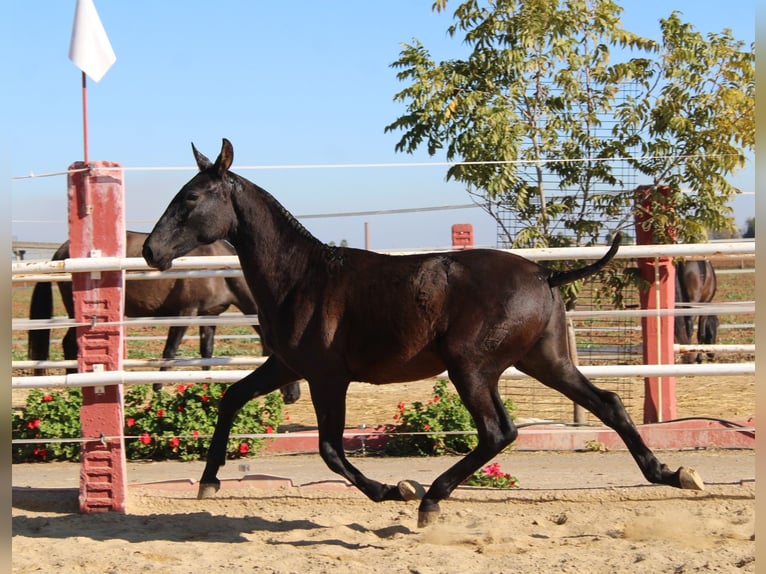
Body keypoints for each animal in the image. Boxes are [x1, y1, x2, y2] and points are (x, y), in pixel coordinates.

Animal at [25, 231, 300, 404]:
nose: (294, 395)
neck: (217, 269)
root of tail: (61, 251)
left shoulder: (209, 317)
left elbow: (207, 353)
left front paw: (206, 386)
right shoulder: (185, 314)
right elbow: (170, 350)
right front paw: (157, 387)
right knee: (69, 343)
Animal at [141, 140, 704, 532]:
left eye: (191, 197)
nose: (150, 251)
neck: (302, 276)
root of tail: (545, 274)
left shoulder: (327, 378)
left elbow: (330, 450)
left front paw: (397, 489)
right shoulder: (286, 366)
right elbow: (231, 398)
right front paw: (209, 482)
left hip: (471, 368)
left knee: (499, 432)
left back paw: (430, 497)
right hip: (545, 362)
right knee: (607, 403)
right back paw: (672, 473)